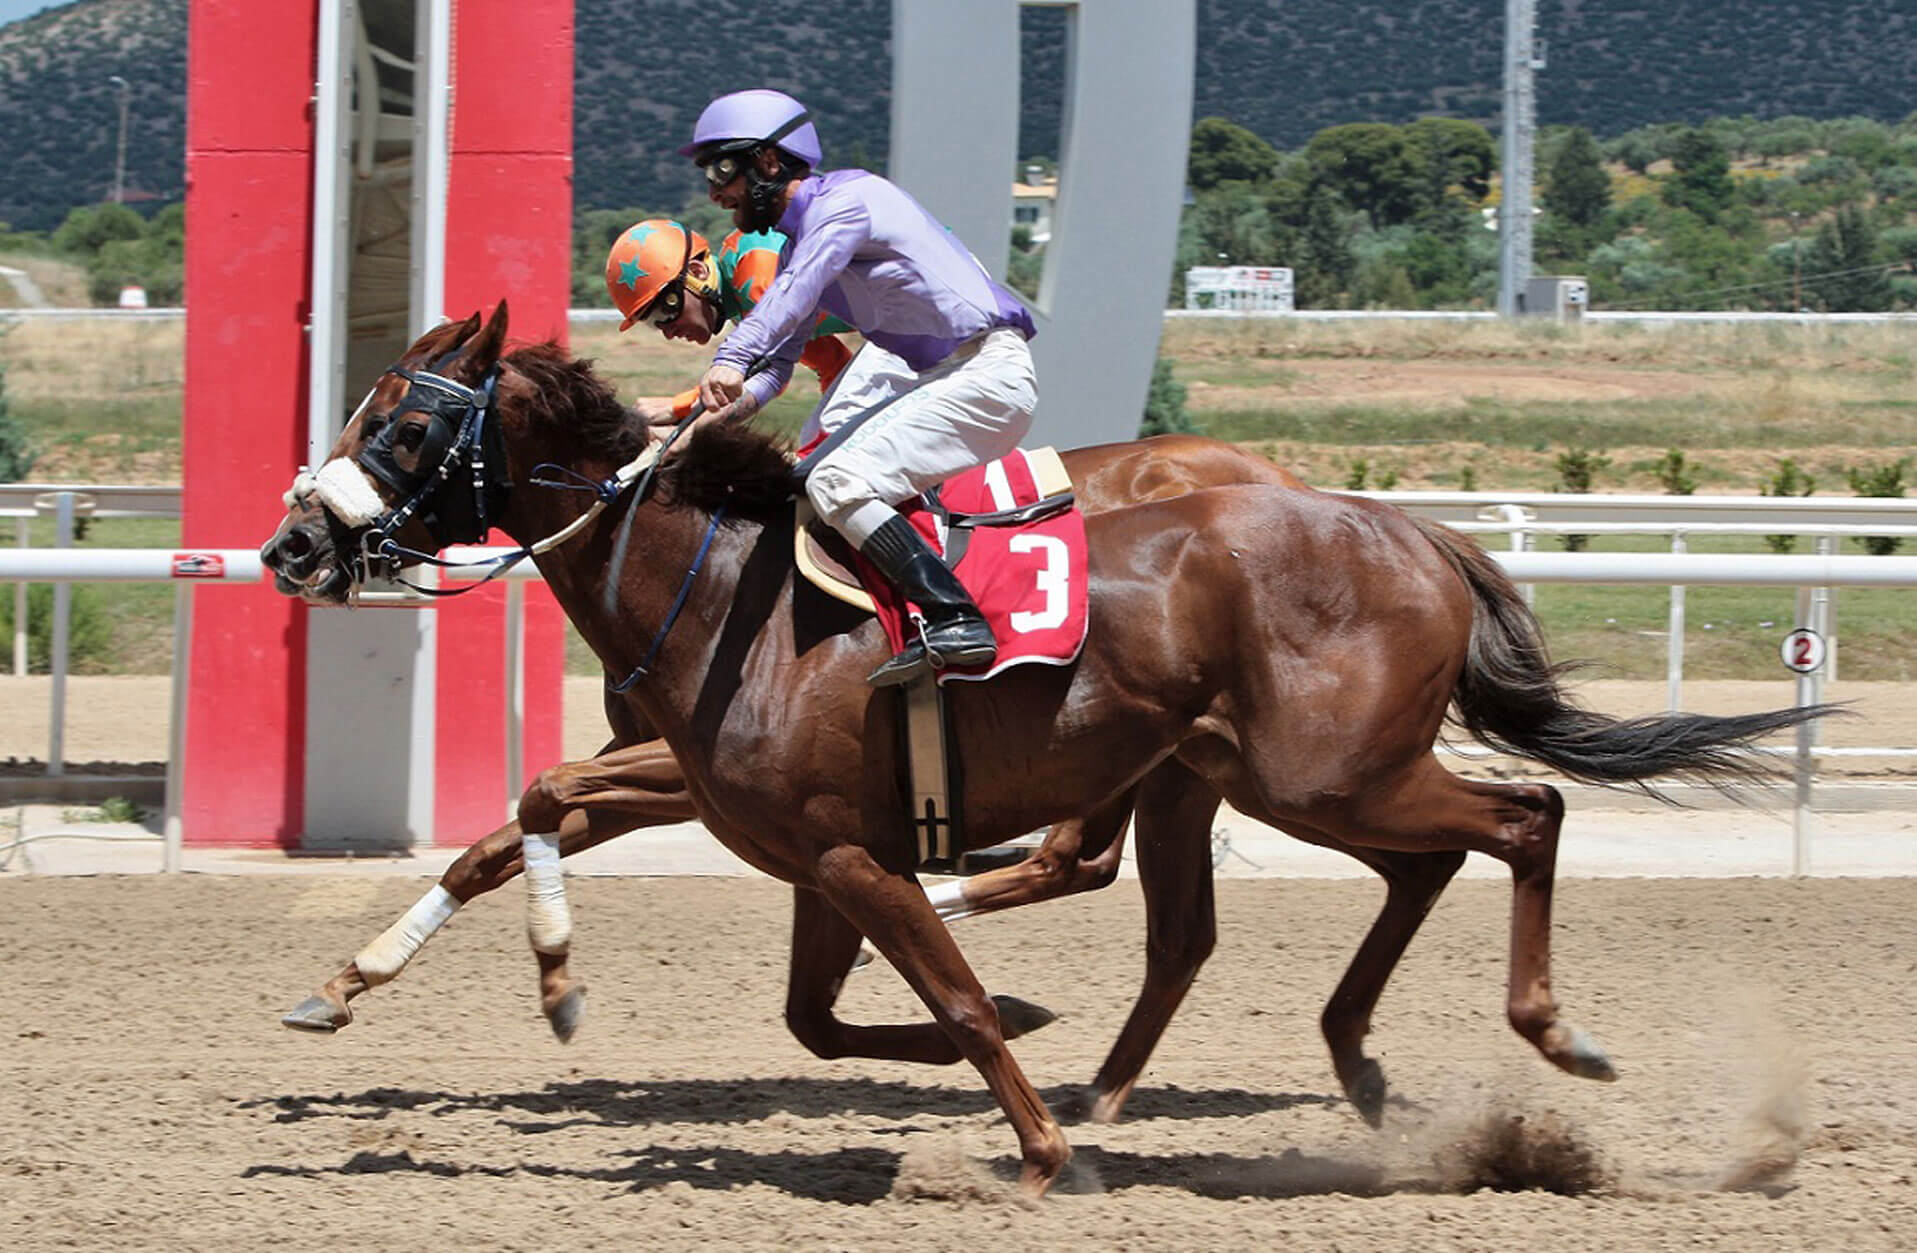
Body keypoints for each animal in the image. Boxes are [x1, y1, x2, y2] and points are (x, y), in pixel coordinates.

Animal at [262, 304, 1817, 1195]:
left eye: (404, 423)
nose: (289, 546)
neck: (720, 593)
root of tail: (1406, 526)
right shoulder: (812, 846)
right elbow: (814, 1009)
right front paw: (355, 985)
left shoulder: (835, 845)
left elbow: (942, 998)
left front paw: (1043, 1147)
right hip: (1261, 774)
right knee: (1349, 884)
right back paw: (1334, 1067)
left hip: (1318, 770)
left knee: (1524, 816)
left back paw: (1548, 1035)